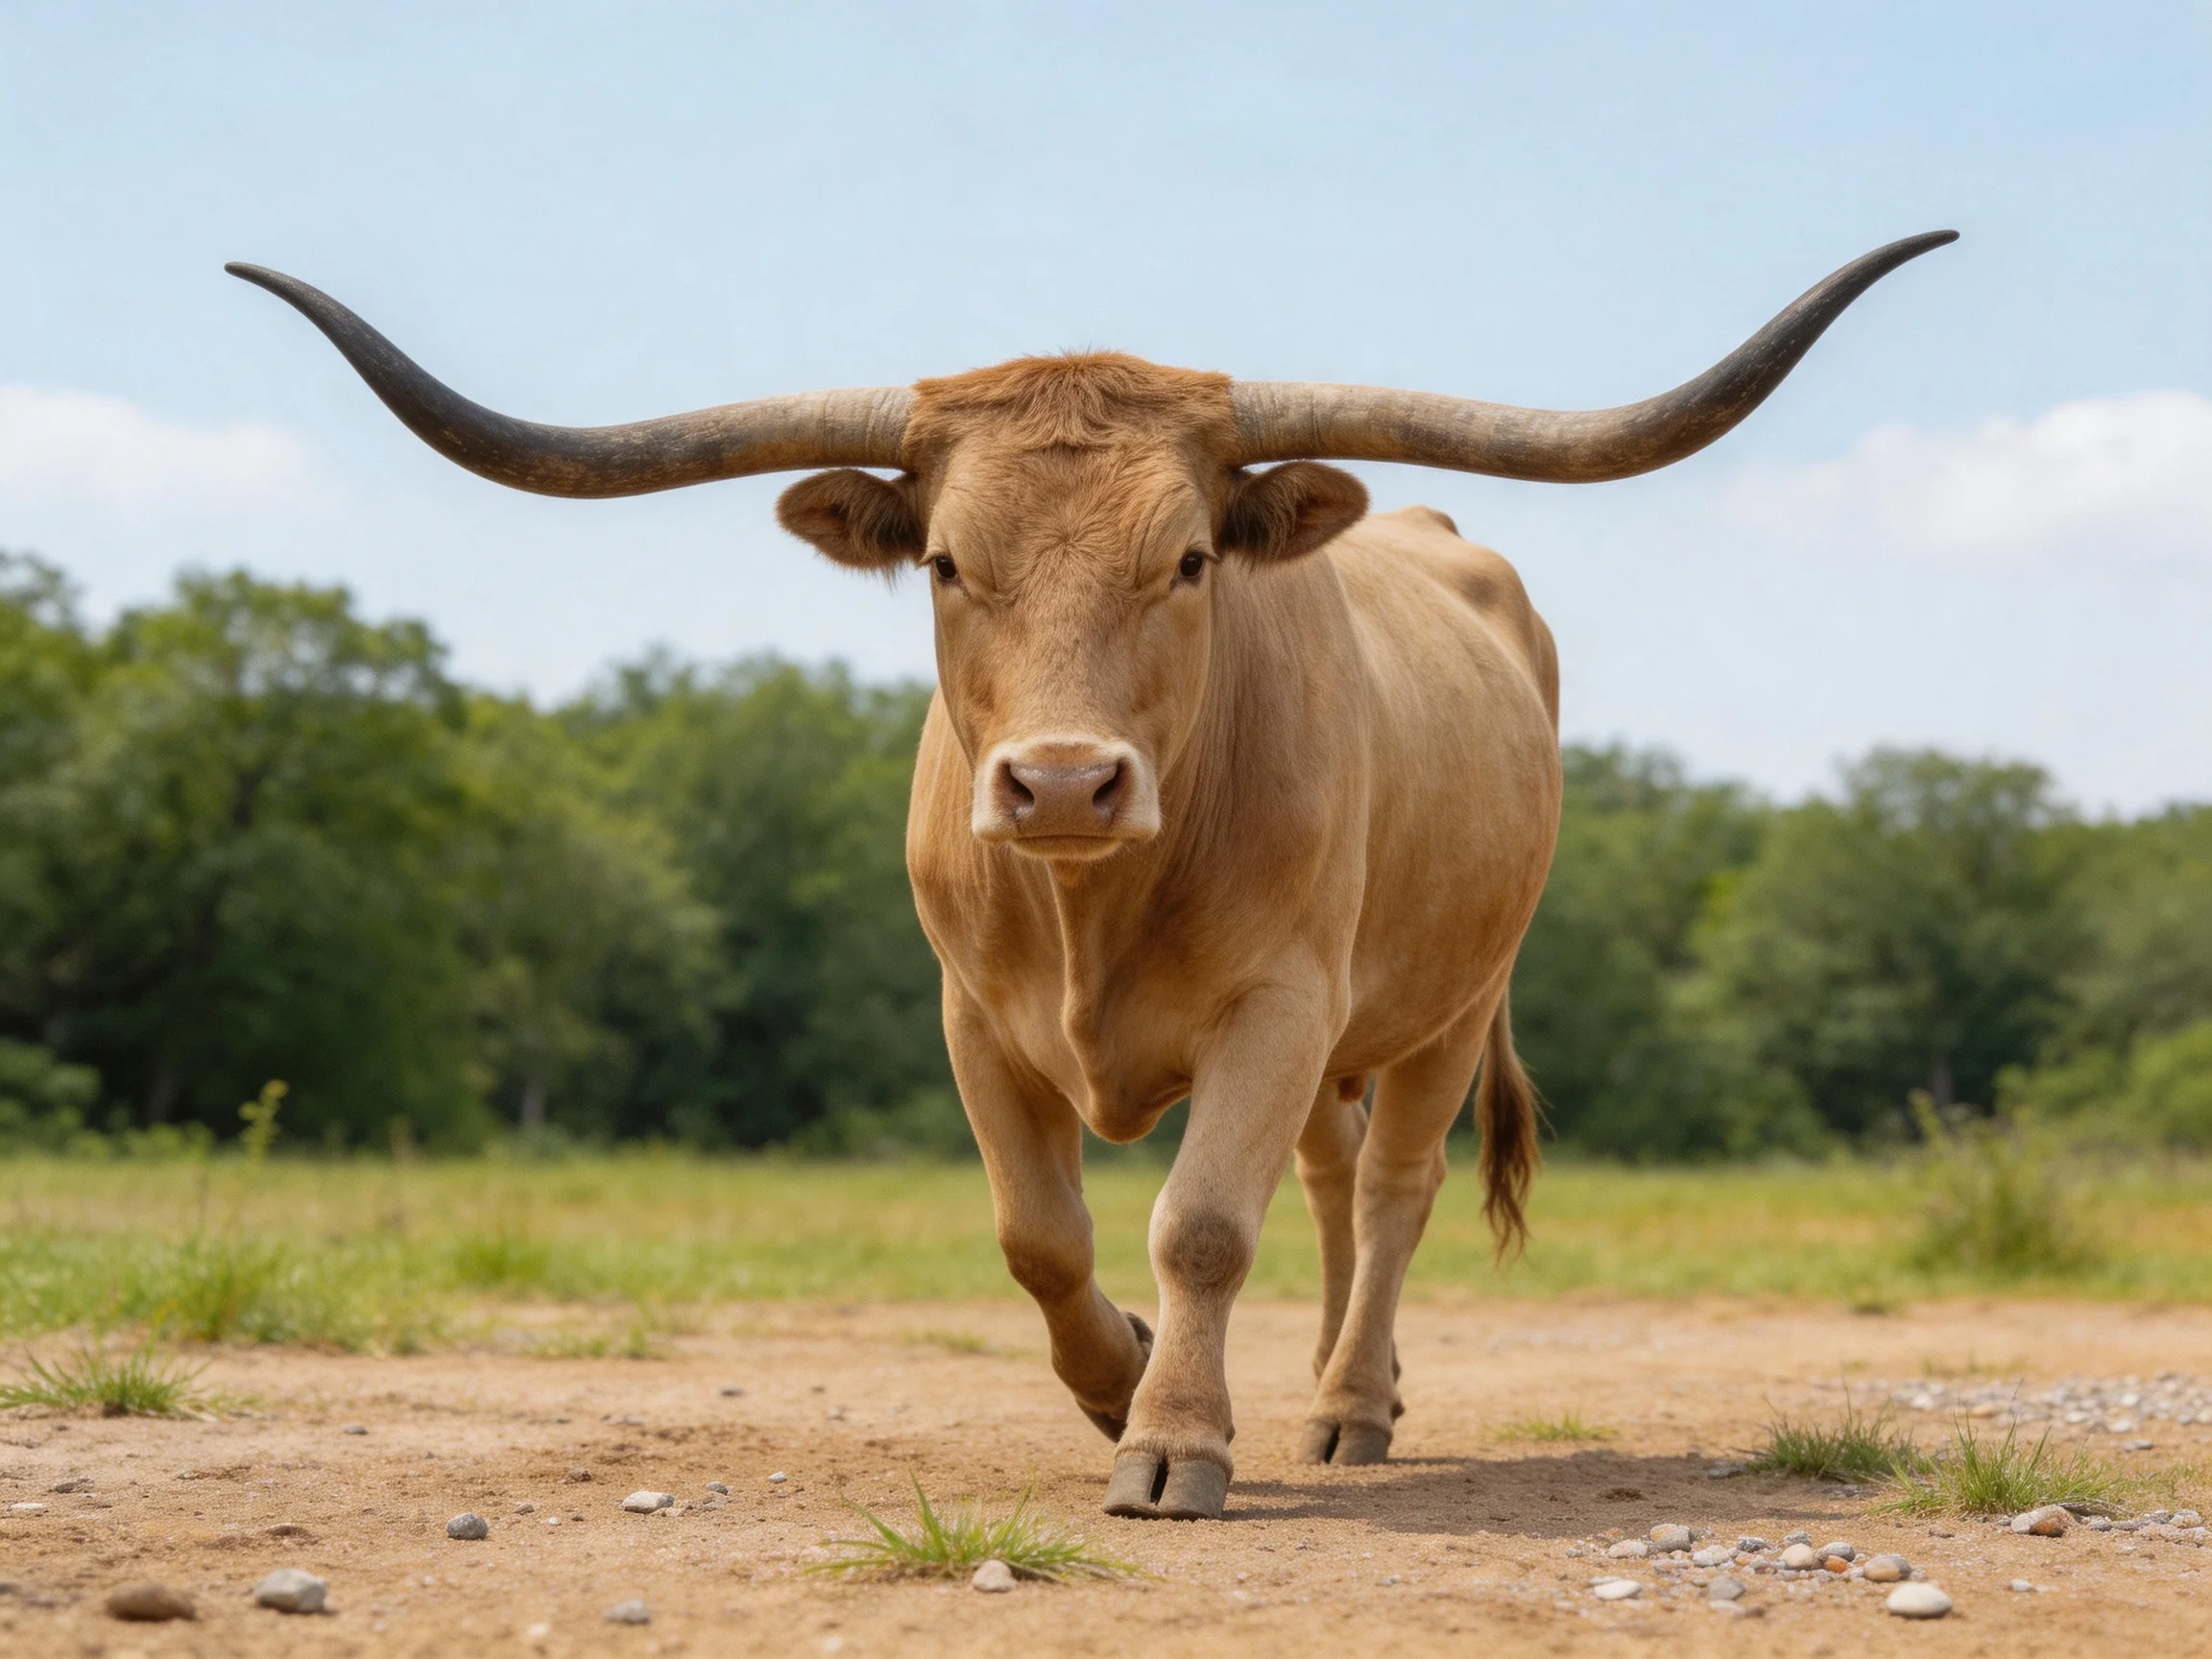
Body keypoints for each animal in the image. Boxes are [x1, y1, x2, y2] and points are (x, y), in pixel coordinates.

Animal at [230, 230, 1953, 1519]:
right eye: (942, 561)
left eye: (1185, 559)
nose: (1061, 779)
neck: (1090, 908)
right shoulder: (976, 1022)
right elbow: (1042, 1238)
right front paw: (1125, 1376)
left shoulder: (1275, 1006)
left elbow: (1198, 1226)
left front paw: (1175, 1441)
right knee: (1331, 1180)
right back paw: (1331, 1395)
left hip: (1446, 1005)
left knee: (1392, 1186)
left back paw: (1350, 1399)